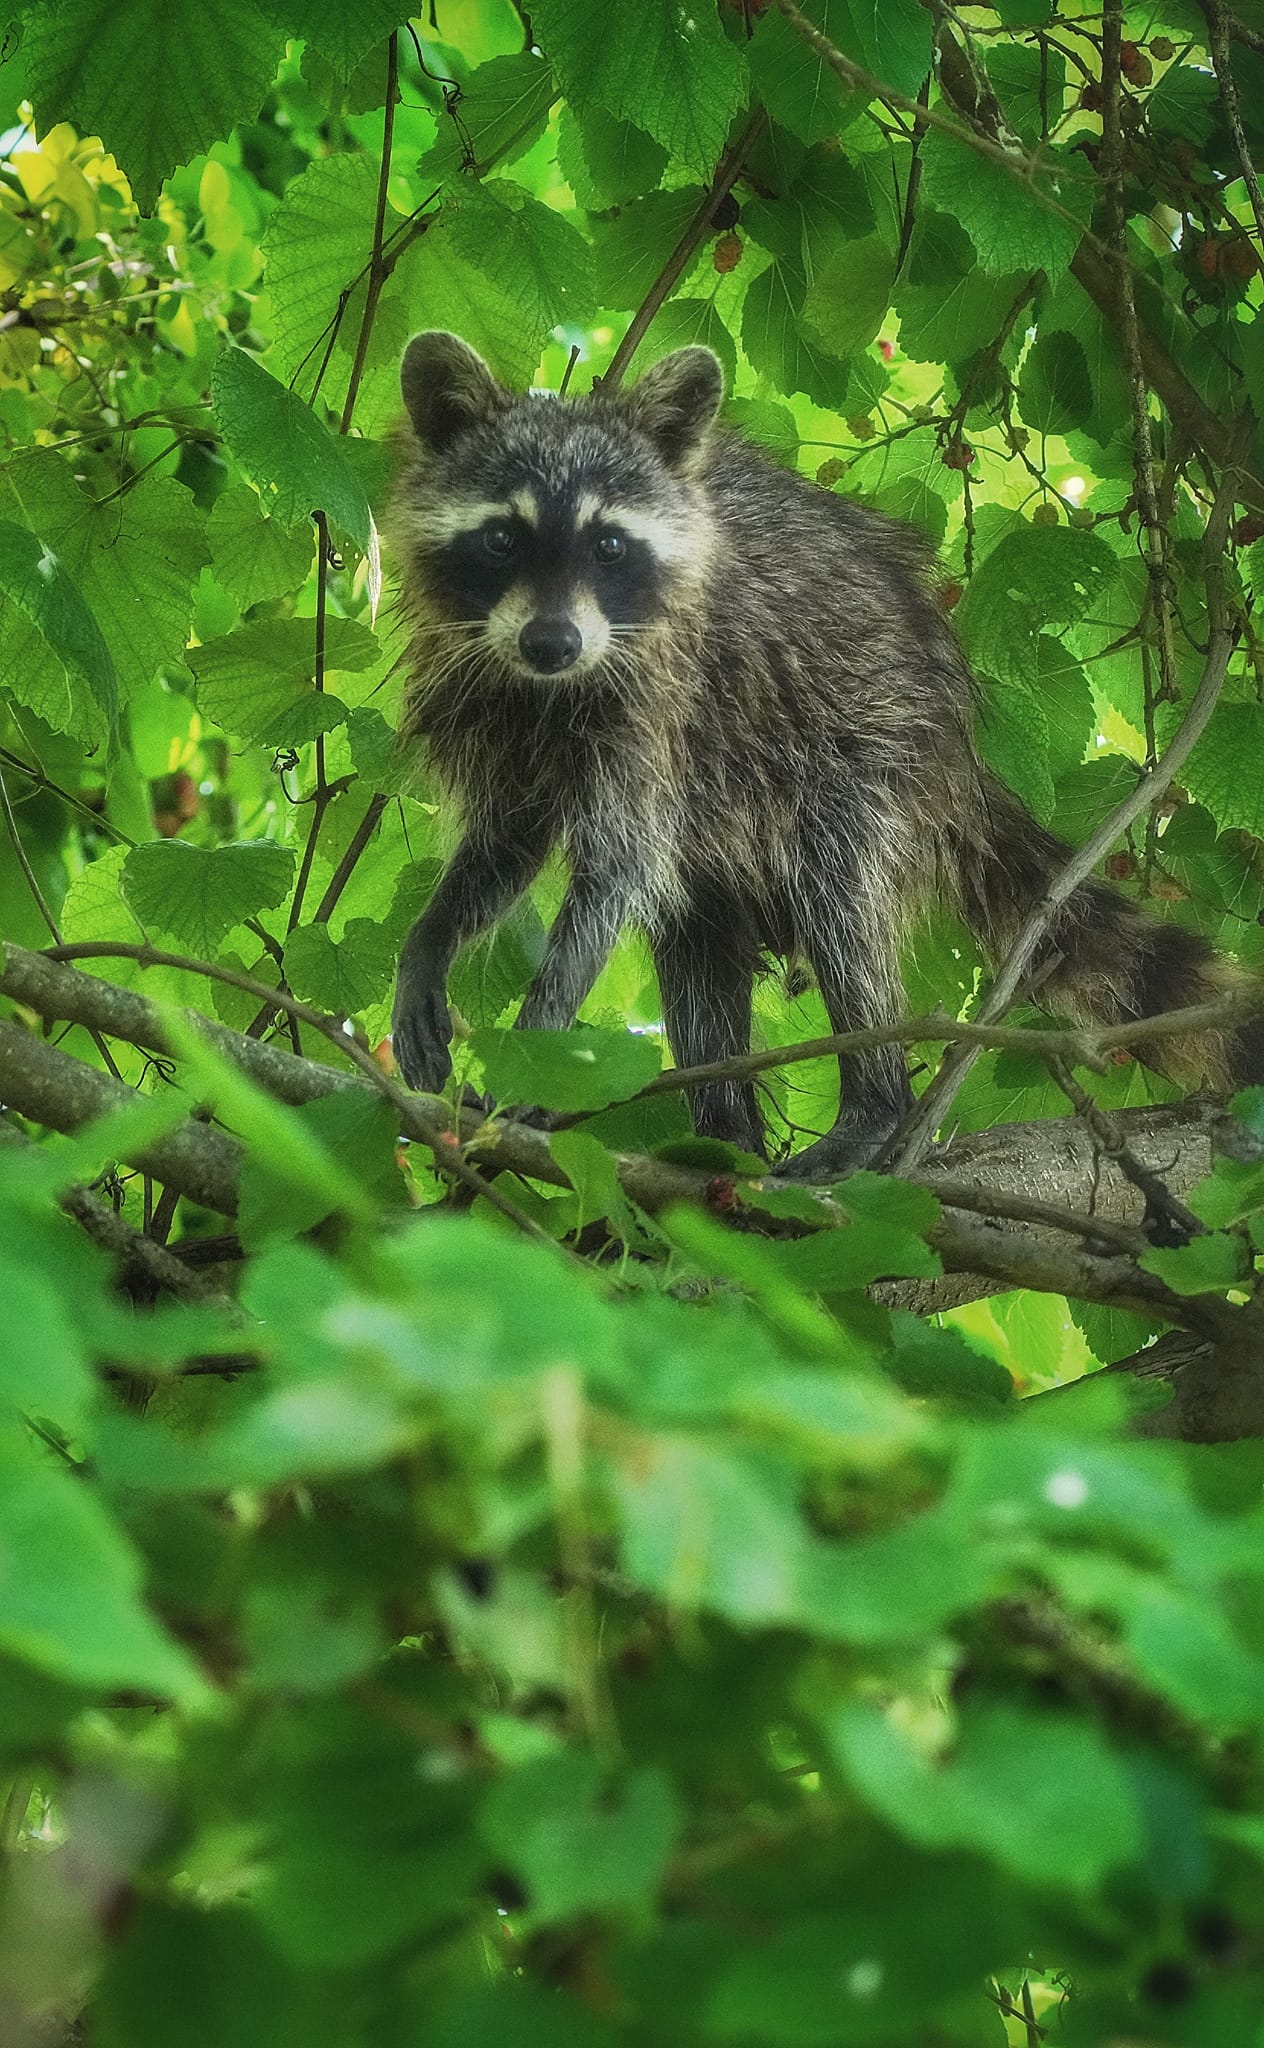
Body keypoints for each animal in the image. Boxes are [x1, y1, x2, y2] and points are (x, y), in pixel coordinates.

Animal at [389, 329, 1263, 1179]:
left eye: (608, 546)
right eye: (502, 538)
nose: (553, 642)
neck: (547, 685)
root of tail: (959, 747)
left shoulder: (659, 704)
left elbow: (618, 869)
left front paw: (537, 1038)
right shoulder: (484, 698)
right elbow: (509, 839)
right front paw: (431, 940)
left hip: (867, 737)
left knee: (837, 897)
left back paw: (872, 1103)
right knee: (697, 944)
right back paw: (726, 1130)